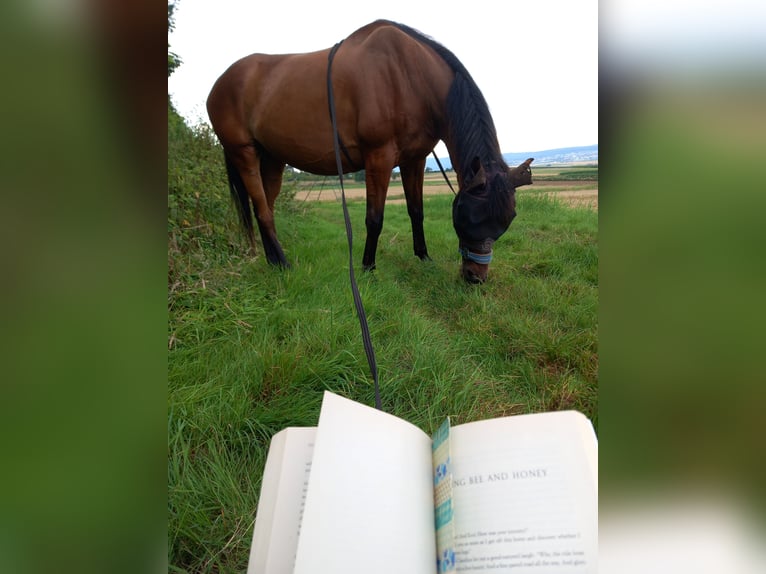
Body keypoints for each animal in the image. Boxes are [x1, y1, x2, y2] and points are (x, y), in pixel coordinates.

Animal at [208, 19, 536, 284]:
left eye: (506, 221)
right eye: (468, 218)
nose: (474, 277)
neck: (409, 75)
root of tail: (221, 82)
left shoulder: (414, 159)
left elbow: (416, 211)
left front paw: (423, 257)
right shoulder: (379, 157)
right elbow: (374, 218)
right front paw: (367, 268)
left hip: (273, 157)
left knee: (265, 206)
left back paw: (273, 261)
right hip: (243, 152)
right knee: (262, 209)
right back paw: (284, 263)